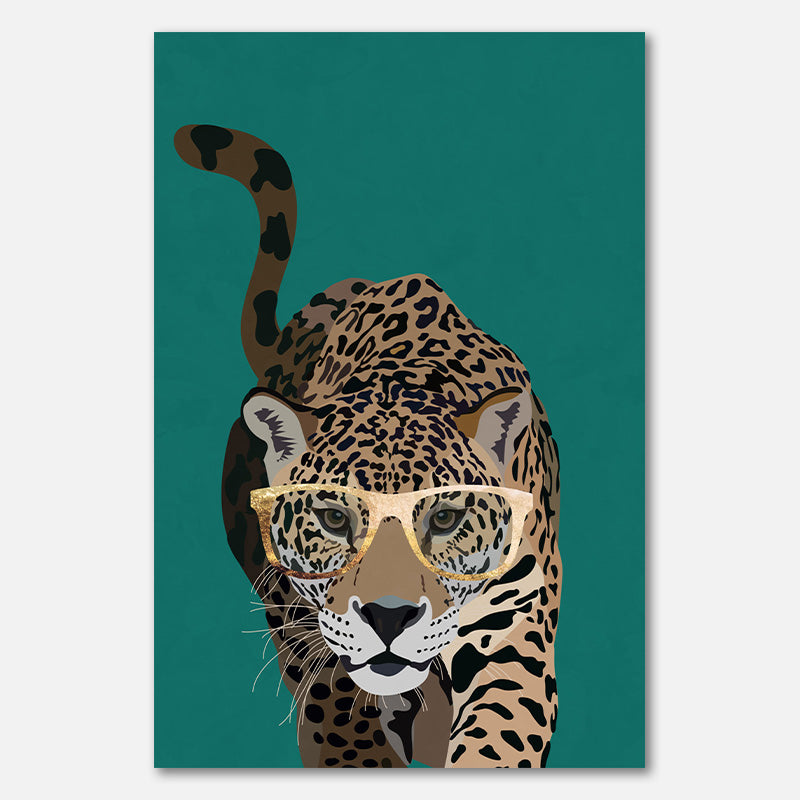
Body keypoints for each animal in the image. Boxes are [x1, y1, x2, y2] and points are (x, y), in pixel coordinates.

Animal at [173, 124, 561, 768]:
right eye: (333, 518)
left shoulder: (515, 627)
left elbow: (499, 735)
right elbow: (343, 724)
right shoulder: (310, 631)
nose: (389, 616)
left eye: (446, 518)